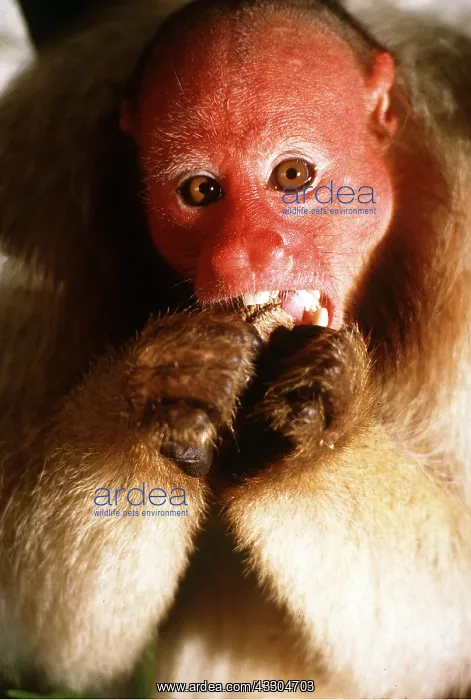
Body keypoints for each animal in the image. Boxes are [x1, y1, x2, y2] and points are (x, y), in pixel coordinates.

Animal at [0, 0, 471, 697]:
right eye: (199, 191)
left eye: (293, 176)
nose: (240, 256)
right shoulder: (35, 203)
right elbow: (53, 642)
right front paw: (162, 398)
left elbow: (442, 638)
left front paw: (319, 432)